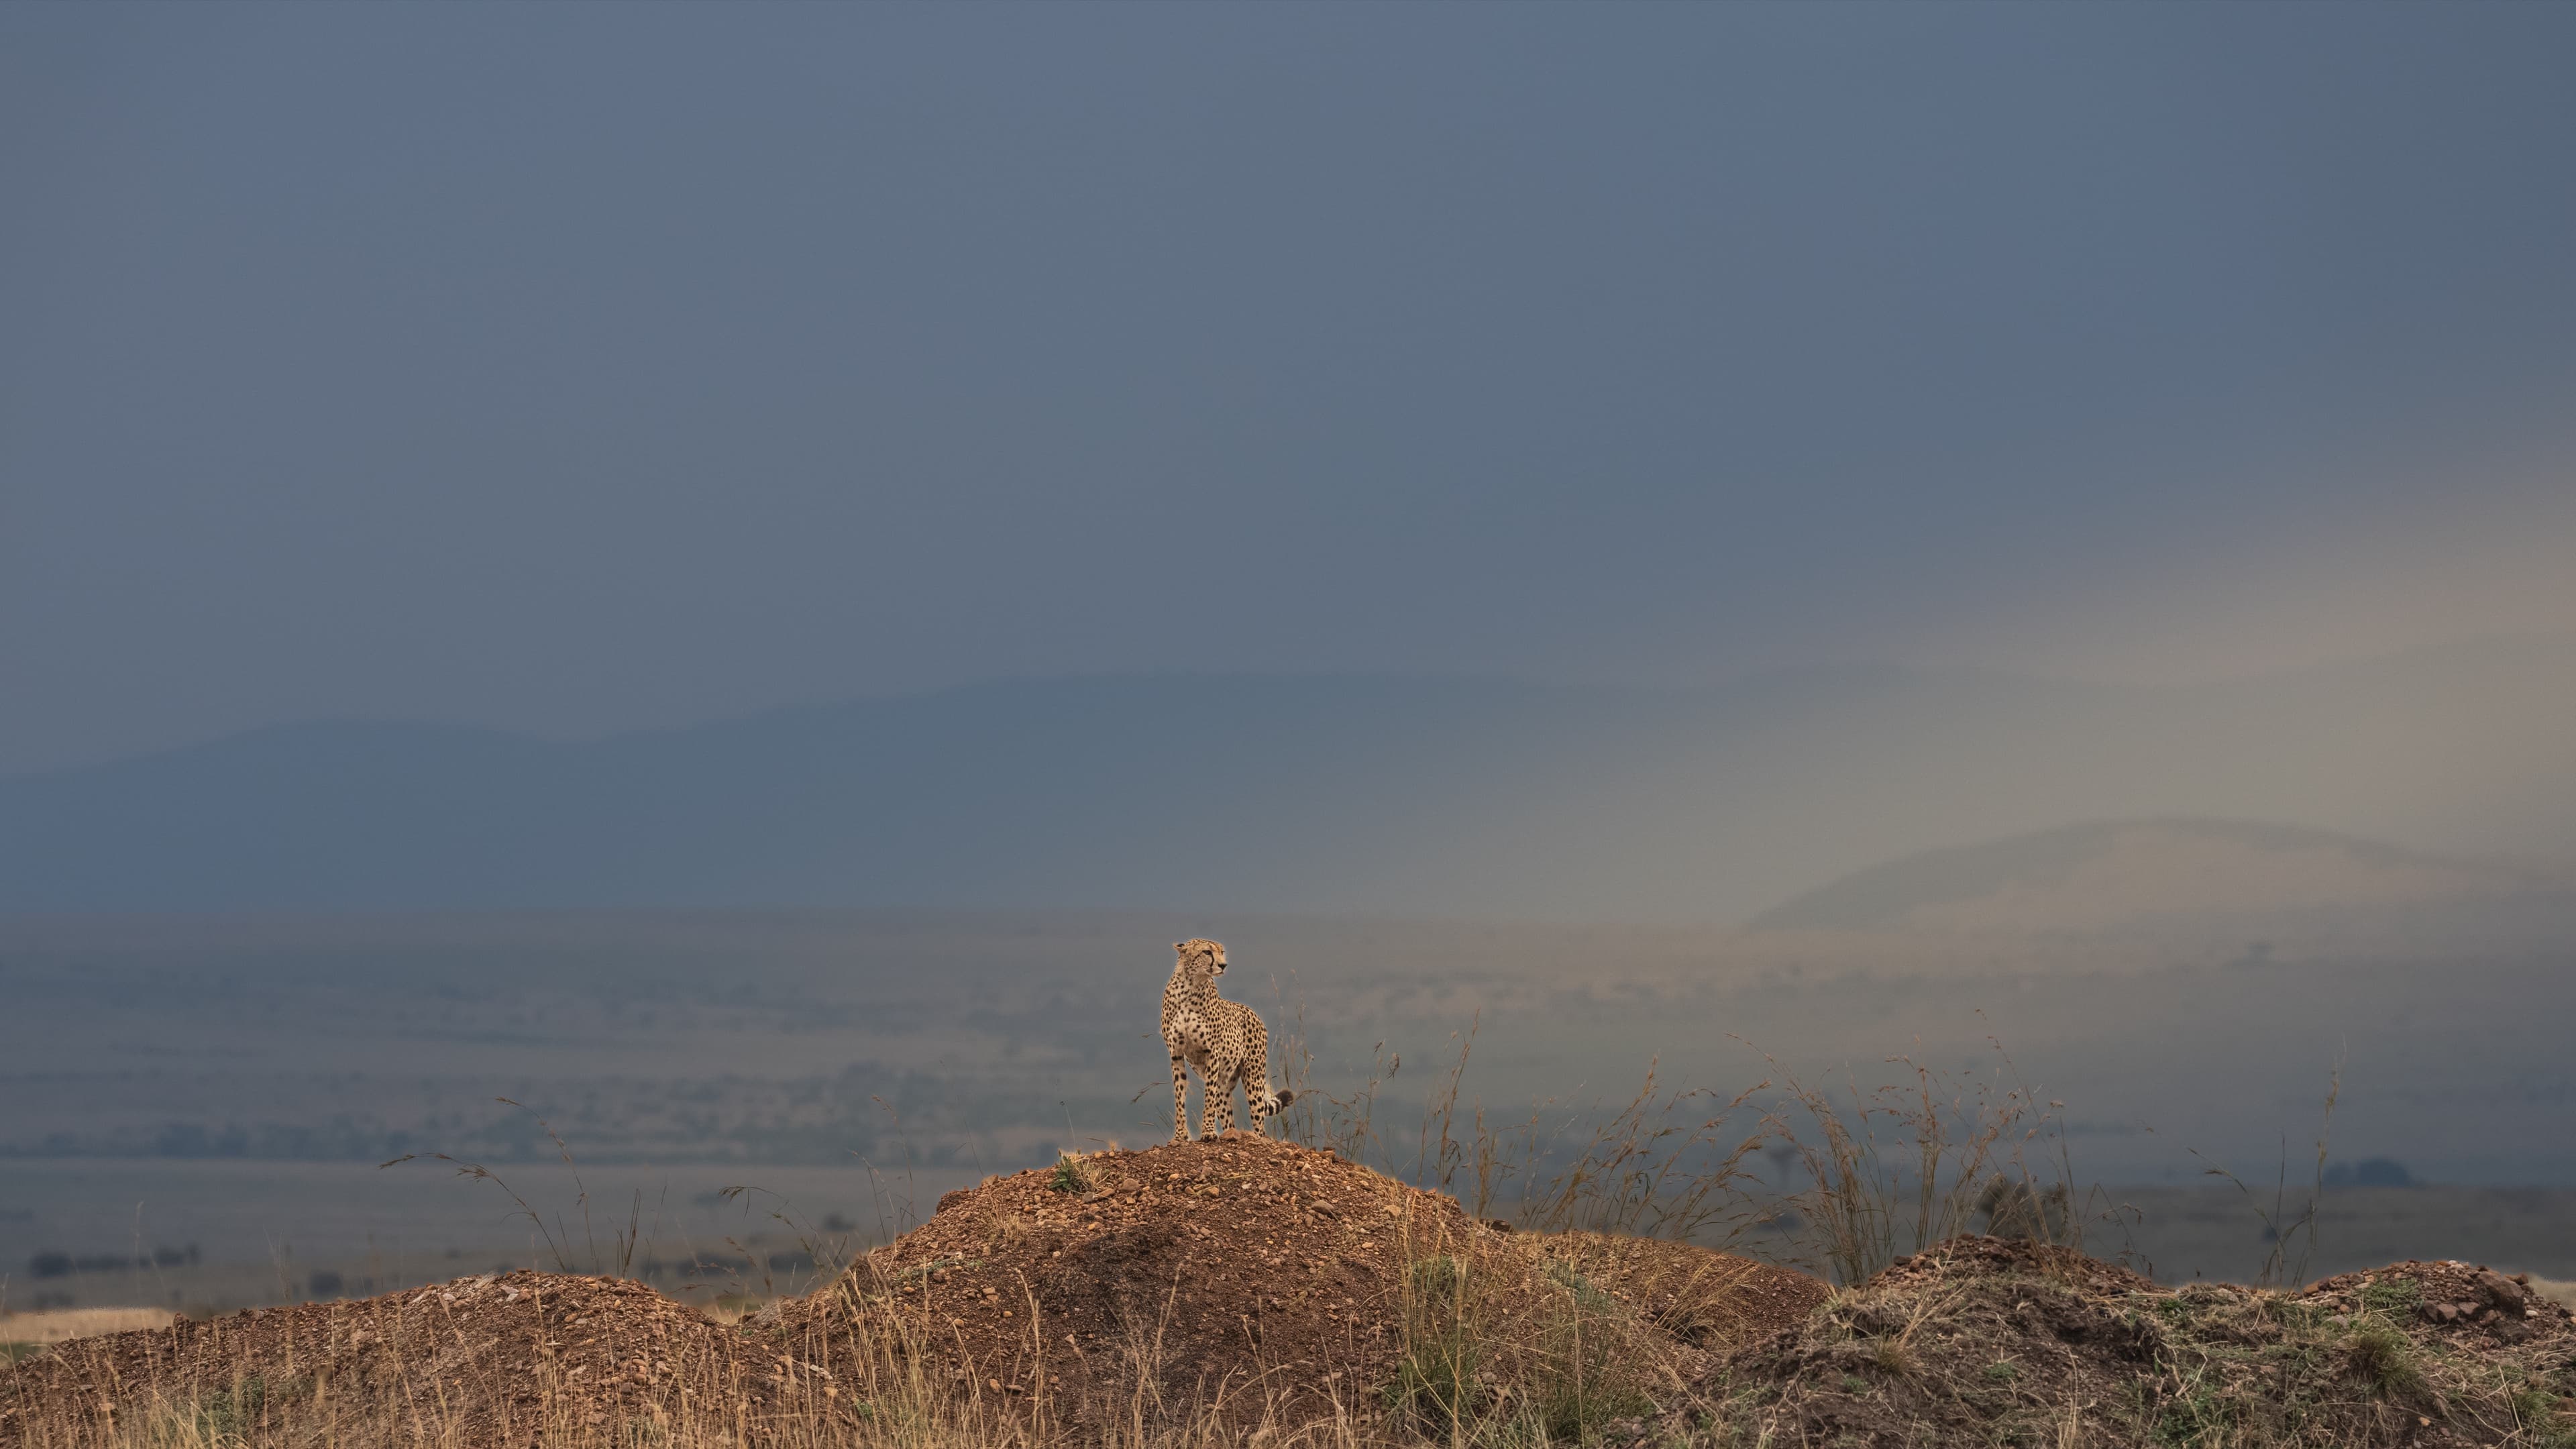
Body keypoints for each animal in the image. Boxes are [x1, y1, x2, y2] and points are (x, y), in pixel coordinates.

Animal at [1161, 938, 1295, 1142]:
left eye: (1222, 952)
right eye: (1207, 952)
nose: (1223, 965)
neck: (1190, 986)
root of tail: (1252, 1012)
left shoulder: (1212, 1052)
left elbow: (1208, 1097)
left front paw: (1208, 1132)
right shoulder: (1176, 1053)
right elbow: (1179, 1095)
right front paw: (1180, 1136)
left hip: (1253, 1077)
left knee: (1258, 1121)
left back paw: (1254, 1137)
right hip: (1225, 1084)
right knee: (1227, 1116)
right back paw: (1229, 1134)